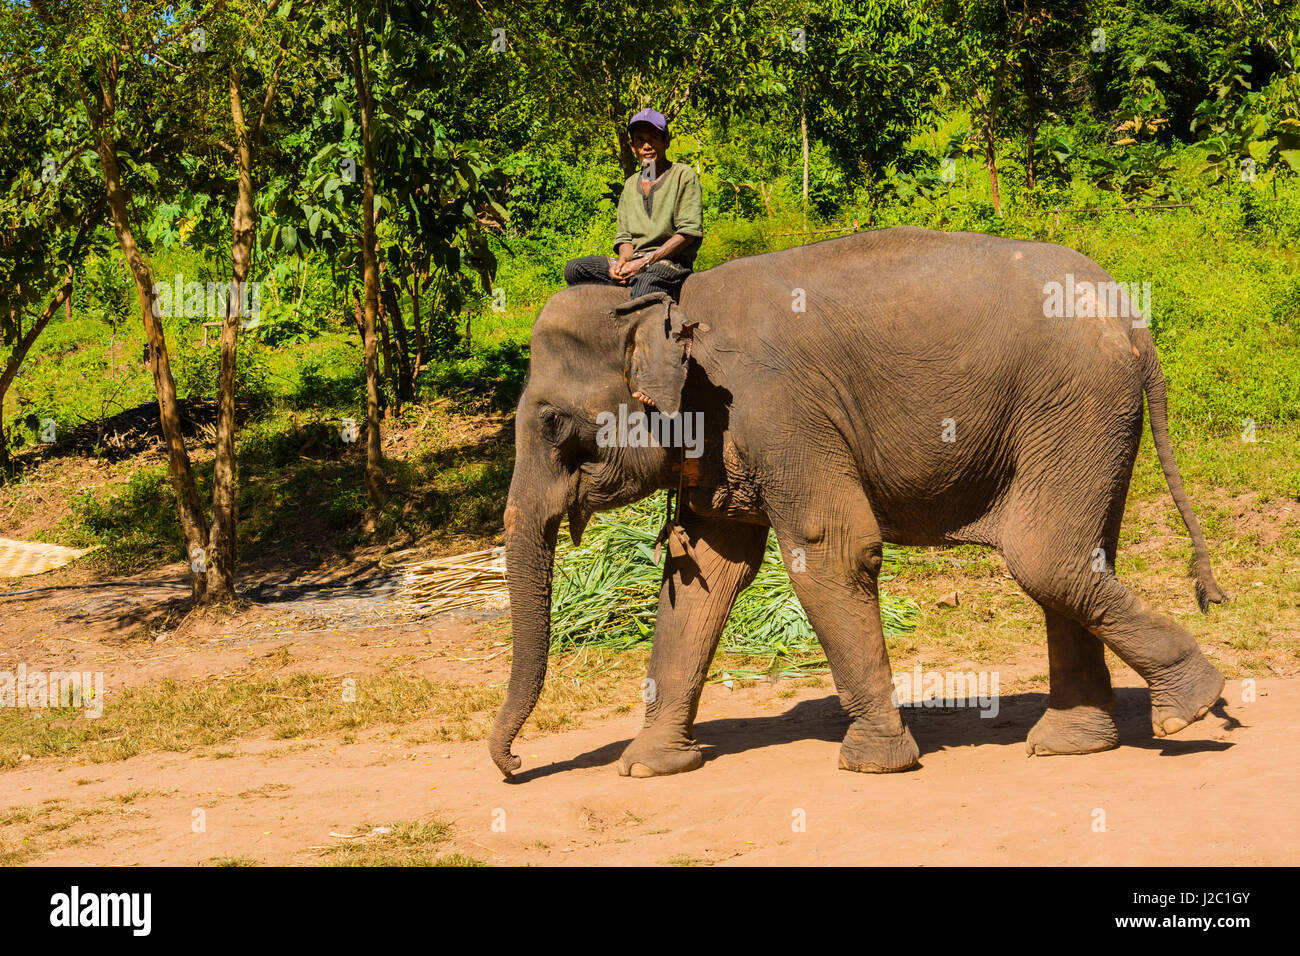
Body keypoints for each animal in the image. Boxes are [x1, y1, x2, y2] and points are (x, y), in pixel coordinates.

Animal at [488, 227, 1227, 780]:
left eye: (552, 424)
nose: (514, 764)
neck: (668, 305)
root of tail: (1133, 318)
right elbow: (706, 575)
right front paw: (649, 767)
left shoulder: (777, 410)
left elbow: (830, 549)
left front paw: (873, 763)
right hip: (1089, 417)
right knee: (1074, 556)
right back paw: (1075, 743)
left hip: (1076, 401)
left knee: (1043, 556)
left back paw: (1189, 709)